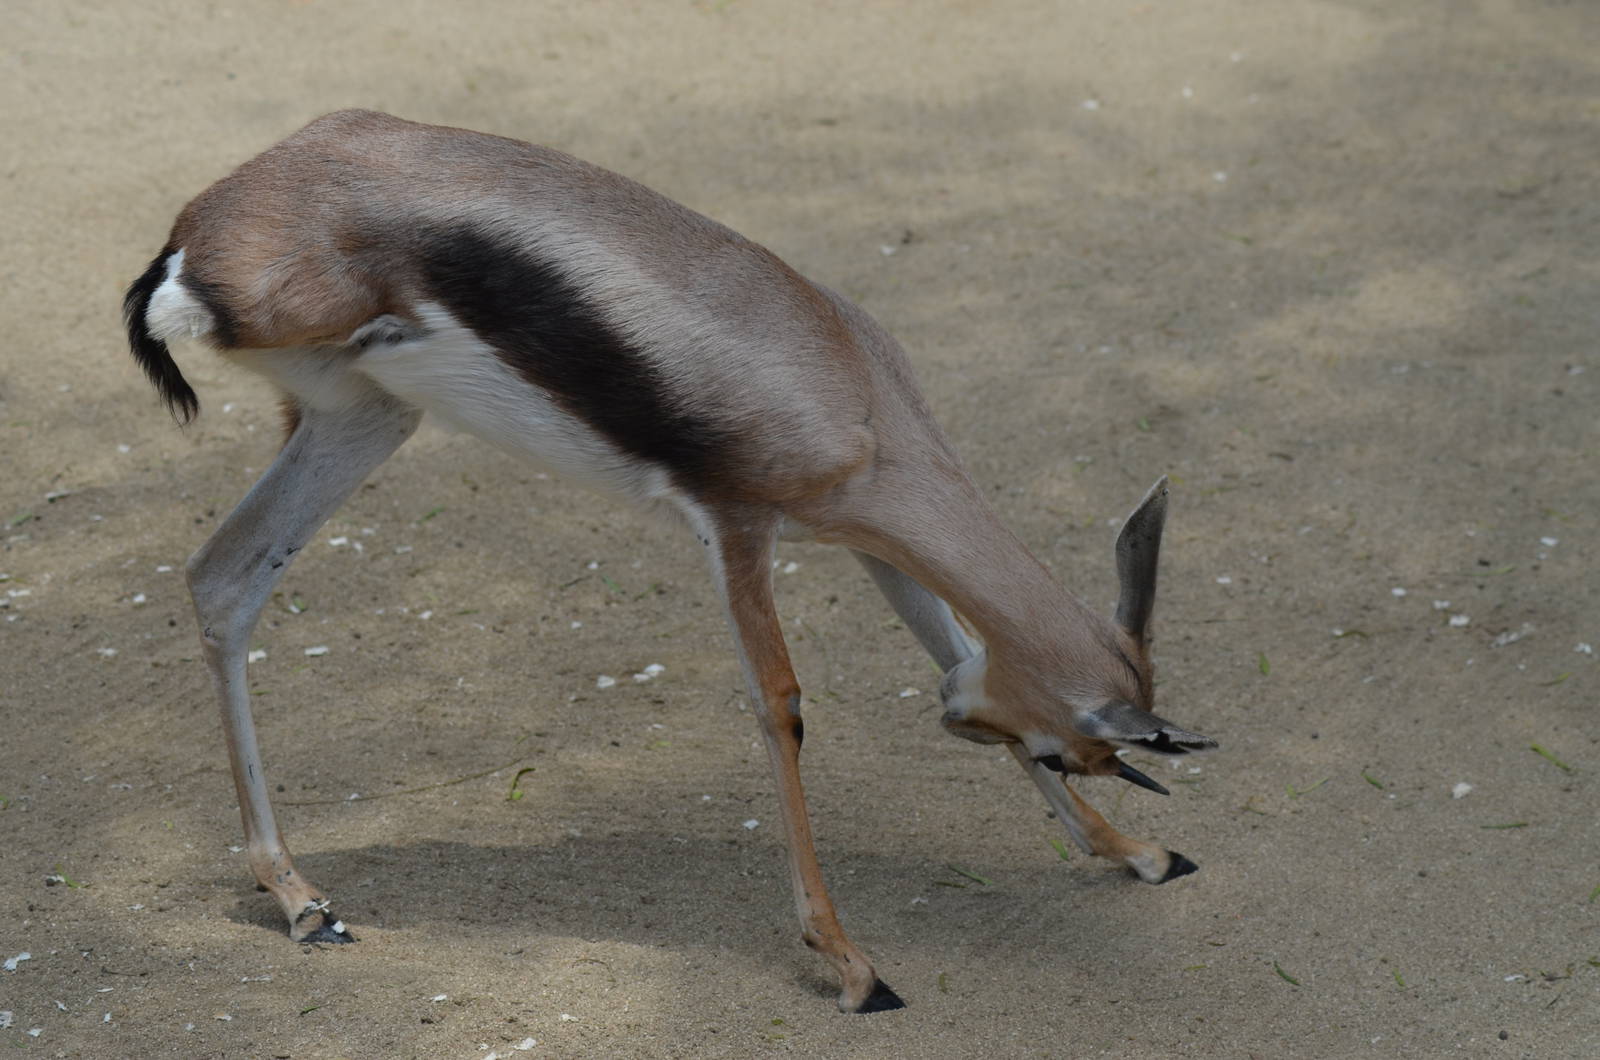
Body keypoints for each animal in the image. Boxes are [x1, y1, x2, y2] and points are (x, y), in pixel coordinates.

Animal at [122, 110, 1215, 1013]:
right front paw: (851, 966)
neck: (859, 397)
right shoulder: (734, 527)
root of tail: (202, 225)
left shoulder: (865, 538)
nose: (967, 727)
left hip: (365, 419)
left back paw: (302, 900)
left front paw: (1137, 853)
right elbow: (780, 706)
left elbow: (947, 650)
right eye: (1074, 752)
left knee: (224, 578)